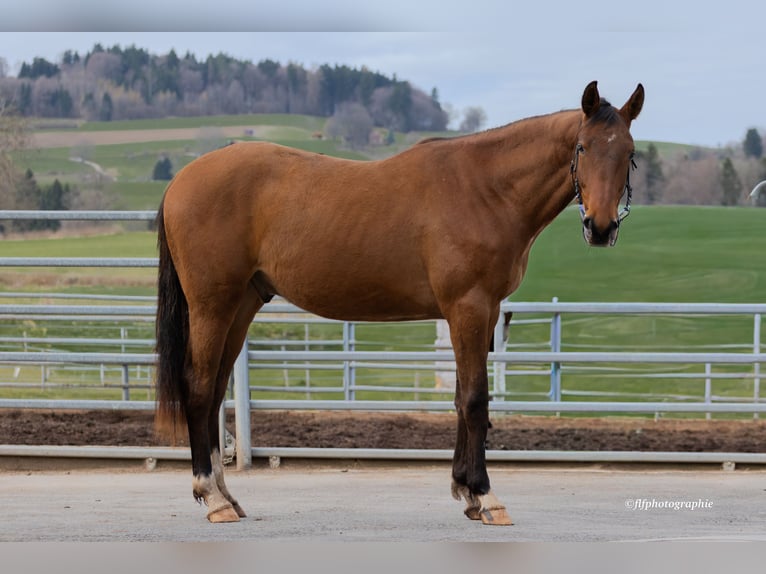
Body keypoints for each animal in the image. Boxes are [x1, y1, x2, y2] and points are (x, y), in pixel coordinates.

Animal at [154, 80, 644, 524]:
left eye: (629, 152)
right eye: (582, 147)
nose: (600, 227)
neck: (485, 189)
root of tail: (181, 181)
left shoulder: (482, 314)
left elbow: (461, 399)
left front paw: (465, 491)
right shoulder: (468, 308)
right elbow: (475, 400)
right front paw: (485, 495)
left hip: (240, 306)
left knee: (215, 391)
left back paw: (226, 495)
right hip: (212, 307)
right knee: (199, 388)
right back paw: (212, 498)